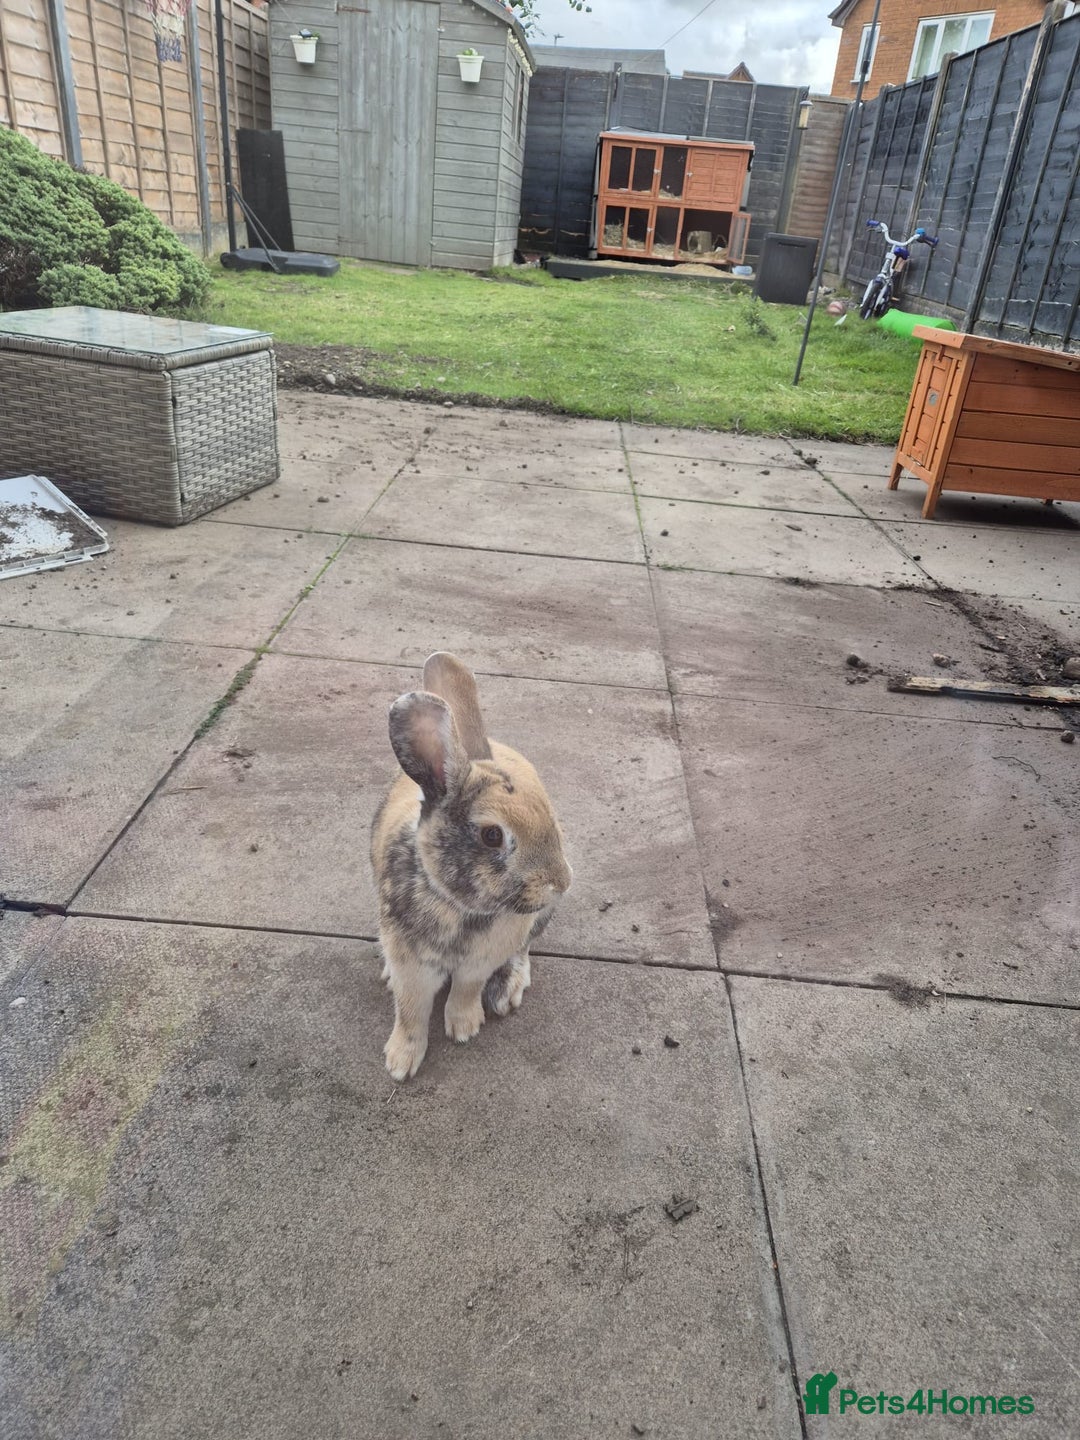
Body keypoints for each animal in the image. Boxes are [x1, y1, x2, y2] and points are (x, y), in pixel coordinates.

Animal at [371, 652, 572, 1081]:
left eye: (548, 815)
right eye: (492, 835)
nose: (561, 883)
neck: (456, 905)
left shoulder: (479, 963)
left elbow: (465, 990)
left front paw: (464, 1028)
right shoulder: (411, 966)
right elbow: (410, 1011)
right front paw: (400, 1063)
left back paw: (508, 990)